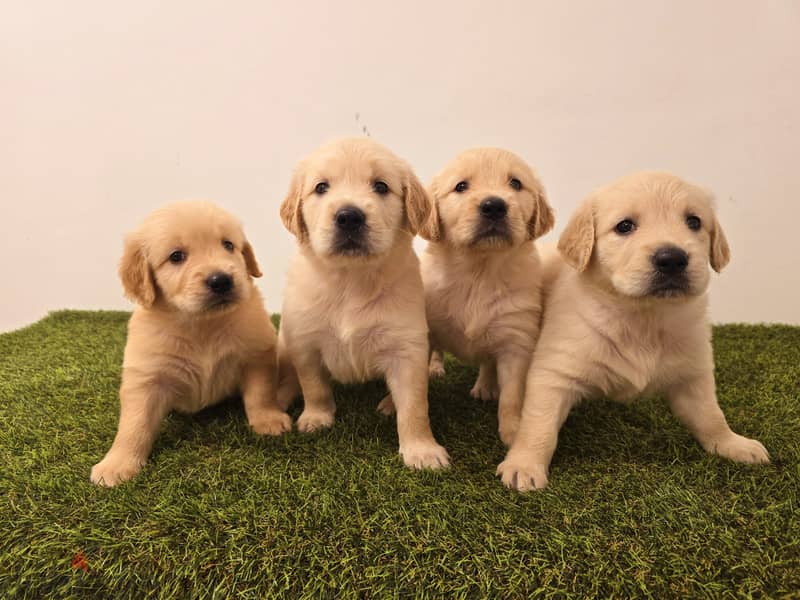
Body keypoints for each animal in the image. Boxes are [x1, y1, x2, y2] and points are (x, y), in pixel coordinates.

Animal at [90, 202, 288, 488]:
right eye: (176, 256)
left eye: (228, 245)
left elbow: (260, 393)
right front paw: (117, 463)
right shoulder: (146, 378)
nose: (221, 280)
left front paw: (268, 420)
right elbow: (134, 424)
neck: (202, 324)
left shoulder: (255, 355)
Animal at [276, 138, 450, 472]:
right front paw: (316, 418)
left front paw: (421, 450)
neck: (351, 280)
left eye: (381, 186)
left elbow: (414, 406)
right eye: (321, 187)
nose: (349, 216)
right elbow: (314, 385)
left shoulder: (407, 348)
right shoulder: (304, 342)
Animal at [416, 146, 552, 446]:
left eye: (515, 183)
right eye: (461, 186)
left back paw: (485, 386)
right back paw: (436, 368)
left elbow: (512, 395)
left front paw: (513, 433)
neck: (479, 271)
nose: (494, 206)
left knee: (489, 362)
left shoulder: (516, 339)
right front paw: (390, 403)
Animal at [500, 172, 768, 492]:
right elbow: (539, 425)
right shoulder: (554, 373)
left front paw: (733, 444)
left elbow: (710, 415)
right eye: (625, 226)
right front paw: (524, 464)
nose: (672, 258)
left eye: (694, 222)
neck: (643, 315)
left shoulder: (694, 374)